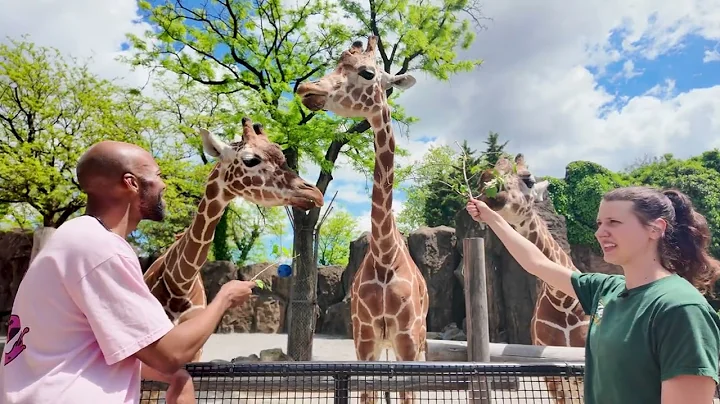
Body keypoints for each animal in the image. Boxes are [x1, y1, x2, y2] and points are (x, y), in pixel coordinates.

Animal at [297, 36, 429, 404]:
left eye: (367, 72)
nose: (307, 89)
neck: (385, 256)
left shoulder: (407, 341)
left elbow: (408, 395)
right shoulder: (365, 340)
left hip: (419, 340)